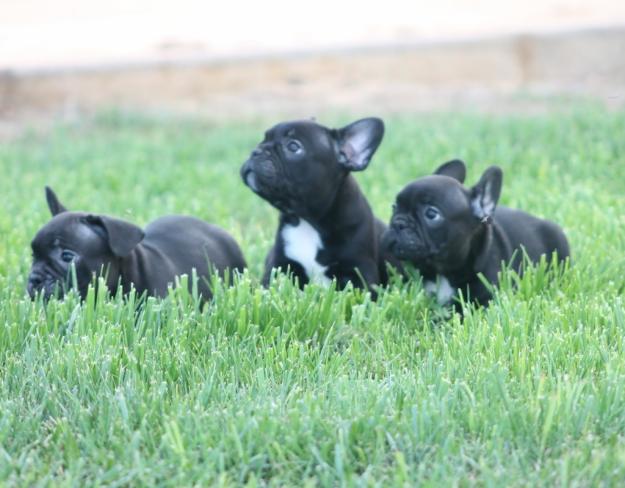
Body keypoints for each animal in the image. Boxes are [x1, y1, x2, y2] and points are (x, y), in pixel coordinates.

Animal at [239, 117, 400, 294]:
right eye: (263, 140)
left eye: (293, 146)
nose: (256, 151)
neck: (308, 221)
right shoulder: (279, 265)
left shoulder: (360, 272)